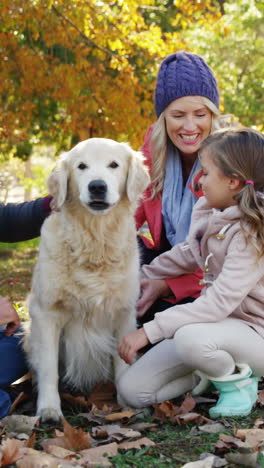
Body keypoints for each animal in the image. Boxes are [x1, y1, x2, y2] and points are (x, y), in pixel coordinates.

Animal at [28, 137, 151, 422]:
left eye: (114, 165)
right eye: (81, 166)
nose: (97, 186)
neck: (95, 242)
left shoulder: (124, 312)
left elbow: (123, 362)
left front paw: (128, 405)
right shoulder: (46, 312)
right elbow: (49, 368)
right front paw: (49, 409)